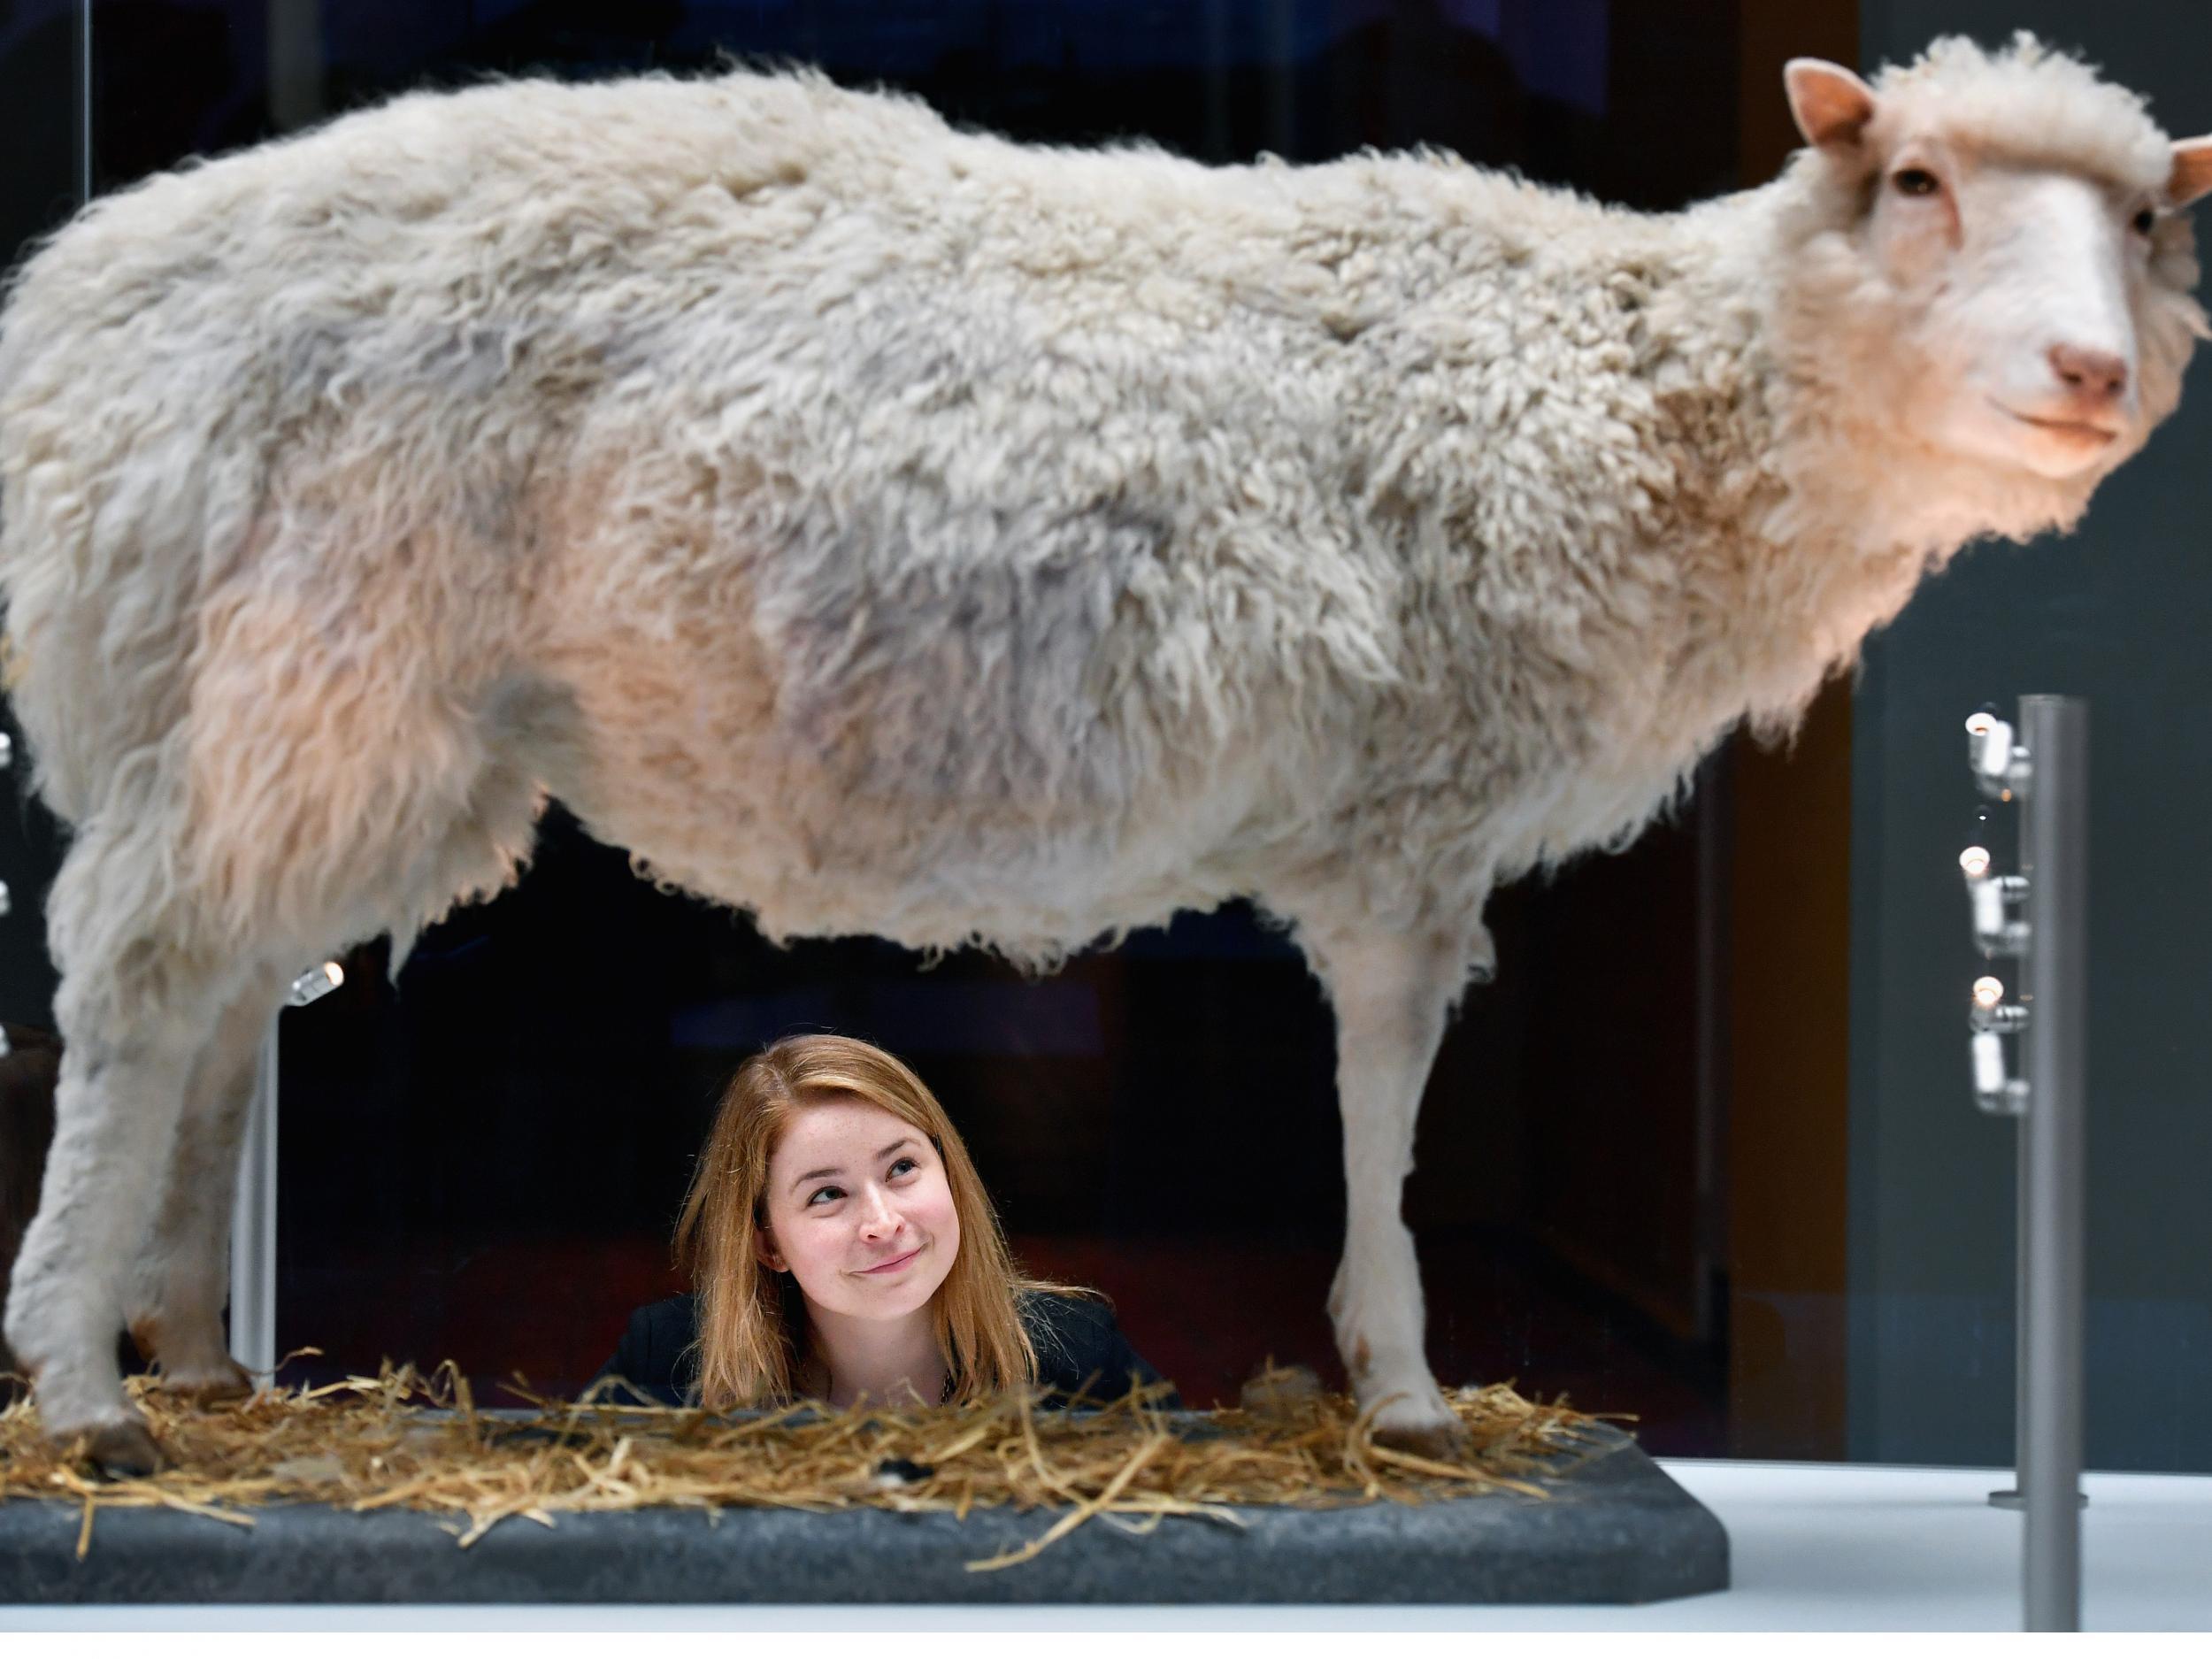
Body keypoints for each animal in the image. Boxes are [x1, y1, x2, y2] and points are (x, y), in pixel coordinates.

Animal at [0, 32, 2203, 1478]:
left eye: (2144, 226)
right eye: (1913, 185)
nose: (2088, 375)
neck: (1627, 390)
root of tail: (82, 303)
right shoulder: (1410, 806)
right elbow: (1383, 1089)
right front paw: (1402, 1382)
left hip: (303, 704)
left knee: (216, 1002)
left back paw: (195, 1351)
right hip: (320, 654)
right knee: (141, 981)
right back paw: (87, 1386)